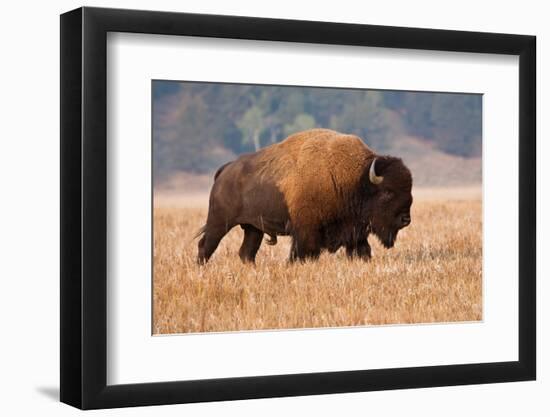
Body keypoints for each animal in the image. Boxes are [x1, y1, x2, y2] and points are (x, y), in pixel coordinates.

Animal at [196, 127, 412, 264]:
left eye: (409, 189)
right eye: (387, 192)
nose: (406, 219)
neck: (355, 180)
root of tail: (225, 170)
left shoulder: (354, 232)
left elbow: (363, 251)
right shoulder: (306, 232)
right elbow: (302, 254)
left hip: (253, 228)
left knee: (246, 253)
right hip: (220, 222)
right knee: (206, 245)